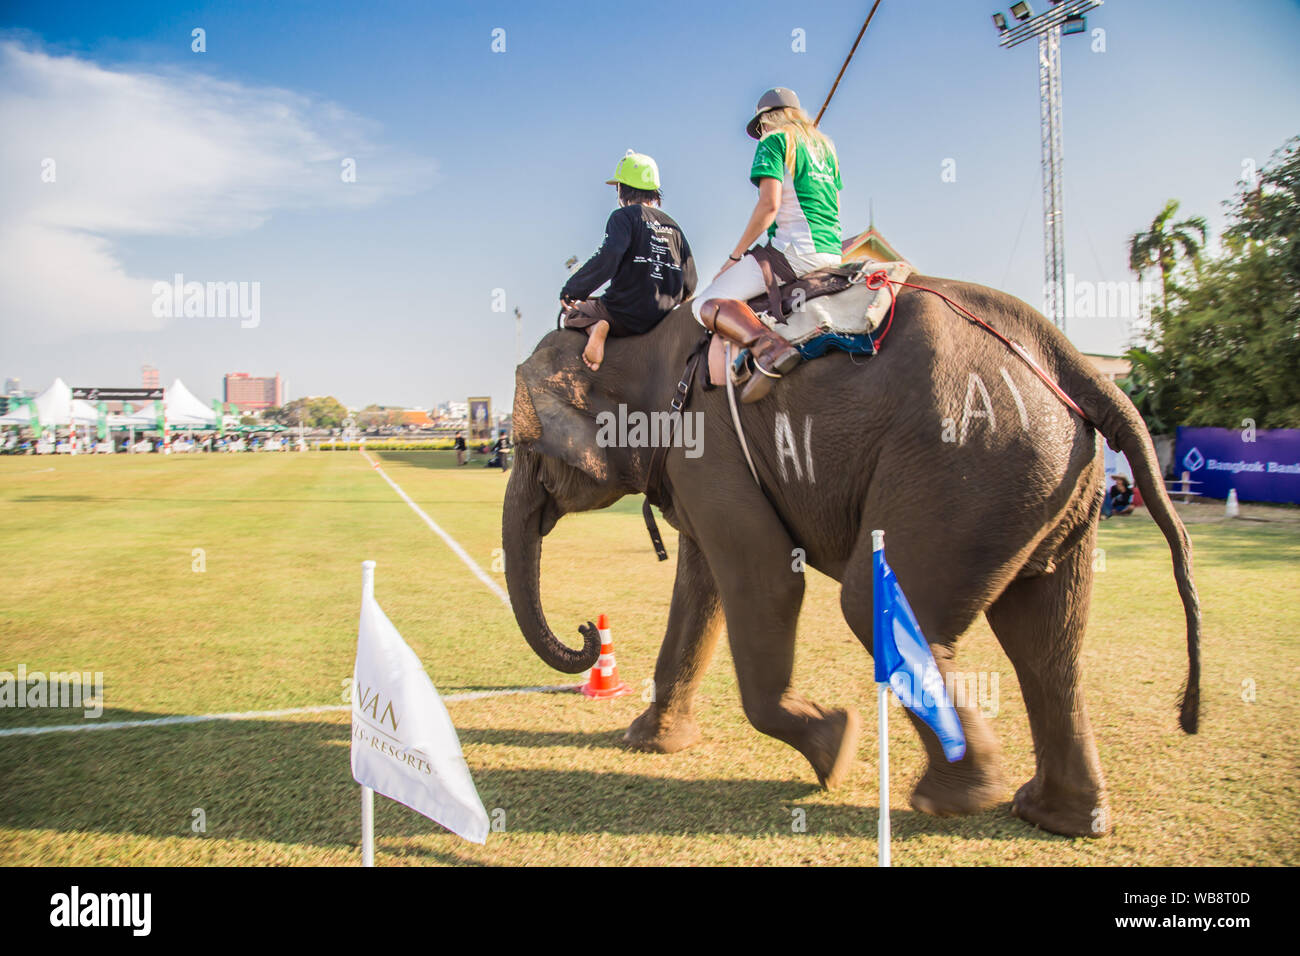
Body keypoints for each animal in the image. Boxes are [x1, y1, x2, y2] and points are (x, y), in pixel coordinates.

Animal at [501, 277, 1201, 837]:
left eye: (527, 450)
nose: (589, 629)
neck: (643, 344)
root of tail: (1076, 361)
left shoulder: (708, 442)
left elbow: (766, 580)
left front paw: (836, 751)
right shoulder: (699, 463)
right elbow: (702, 588)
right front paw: (648, 742)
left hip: (969, 461)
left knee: (875, 605)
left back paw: (953, 800)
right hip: (1048, 482)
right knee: (1046, 643)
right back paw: (1055, 817)